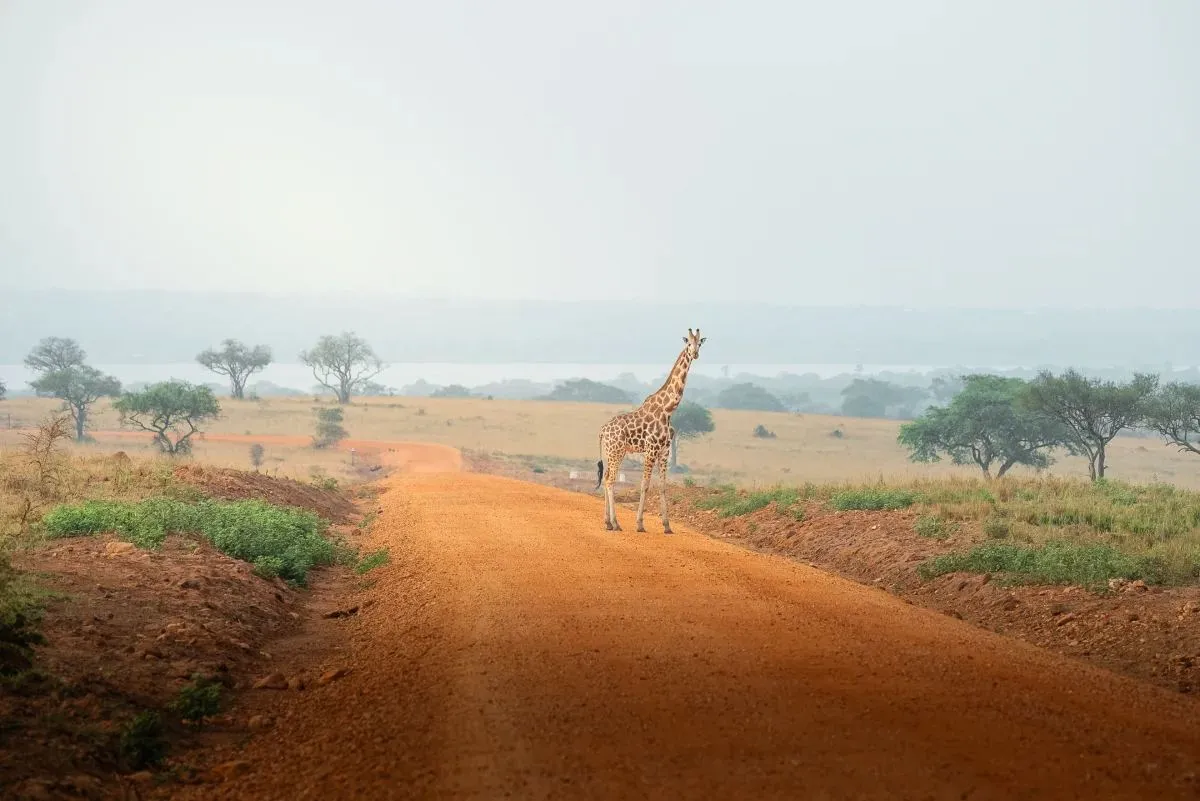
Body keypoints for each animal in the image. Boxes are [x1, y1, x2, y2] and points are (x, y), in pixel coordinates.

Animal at [595, 328, 706, 533]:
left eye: (699, 344)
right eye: (688, 343)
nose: (695, 354)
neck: (668, 409)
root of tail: (603, 431)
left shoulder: (665, 451)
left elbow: (662, 486)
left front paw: (667, 526)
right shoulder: (651, 449)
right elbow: (645, 485)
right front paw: (639, 524)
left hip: (612, 451)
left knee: (606, 477)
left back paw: (607, 522)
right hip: (616, 451)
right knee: (610, 480)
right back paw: (616, 523)